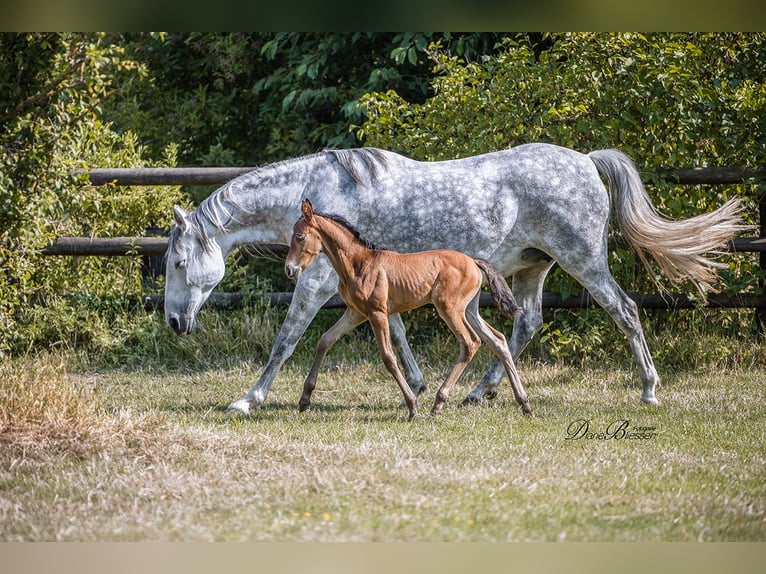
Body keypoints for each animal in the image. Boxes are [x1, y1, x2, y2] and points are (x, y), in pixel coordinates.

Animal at [284, 200, 532, 420]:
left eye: (300, 236)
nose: (289, 270)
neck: (359, 264)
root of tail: (473, 261)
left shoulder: (377, 313)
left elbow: (388, 357)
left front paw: (412, 407)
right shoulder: (355, 313)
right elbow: (325, 341)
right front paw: (304, 399)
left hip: (449, 308)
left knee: (470, 342)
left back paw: (439, 402)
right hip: (469, 310)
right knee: (497, 340)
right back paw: (524, 404)